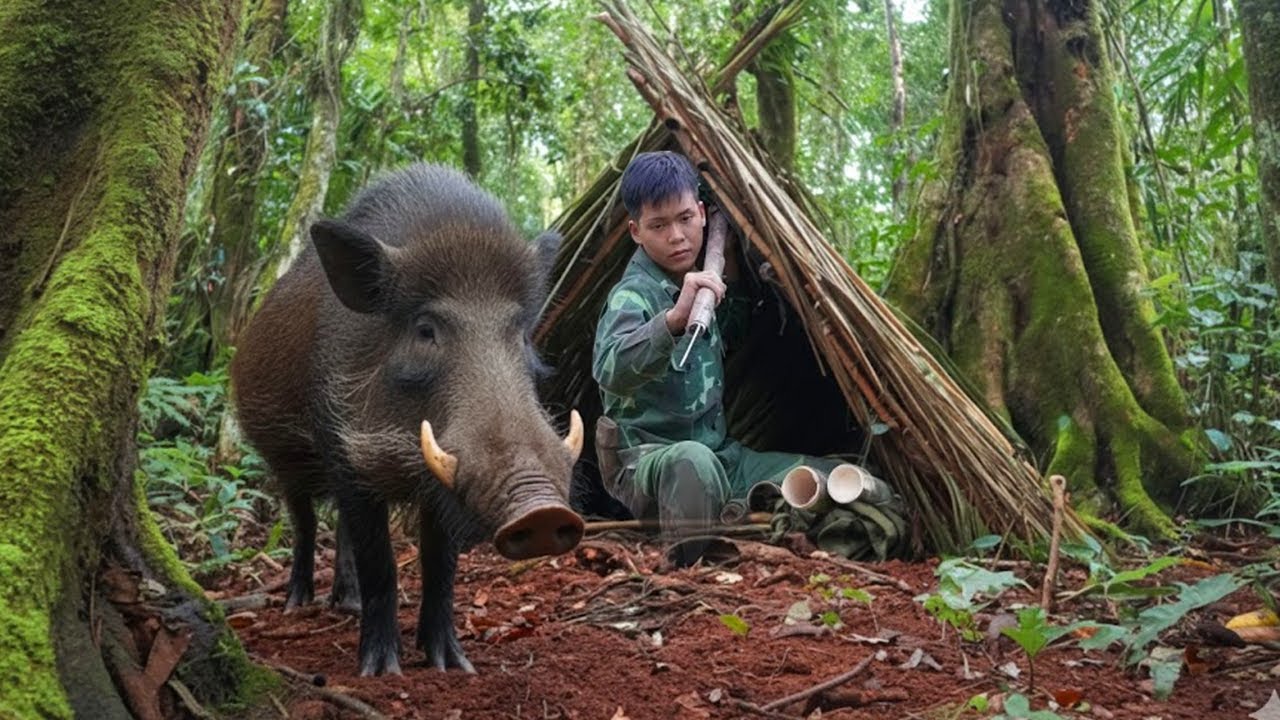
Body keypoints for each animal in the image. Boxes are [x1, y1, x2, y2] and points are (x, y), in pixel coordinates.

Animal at [230, 163, 584, 676]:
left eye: (520, 333)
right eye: (425, 329)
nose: (543, 512)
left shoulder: (436, 482)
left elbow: (440, 565)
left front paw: (453, 665)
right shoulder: (343, 449)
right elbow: (381, 561)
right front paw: (379, 672)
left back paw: (347, 604)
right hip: (283, 457)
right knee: (304, 522)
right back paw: (299, 604)